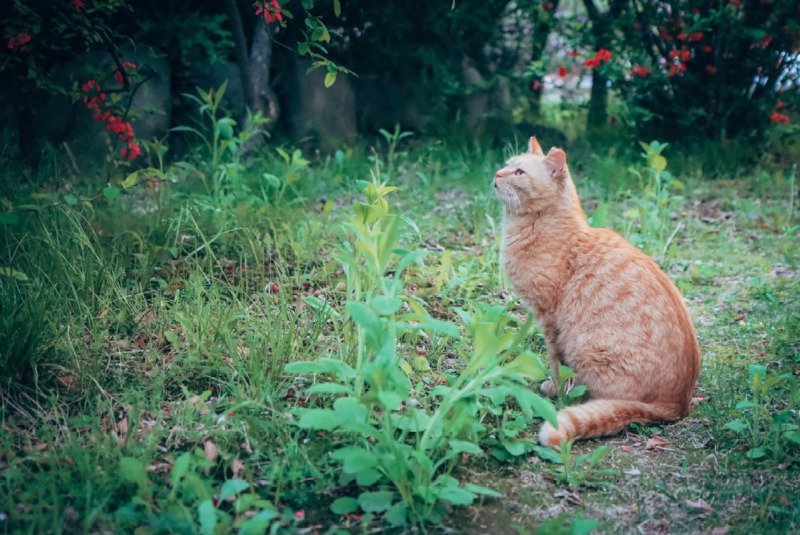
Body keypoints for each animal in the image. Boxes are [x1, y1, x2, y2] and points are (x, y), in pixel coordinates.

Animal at [494, 137, 700, 448]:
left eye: (519, 172)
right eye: (507, 164)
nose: (496, 174)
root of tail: (677, 405)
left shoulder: (549, 319)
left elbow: (555, 363)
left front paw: (556, 388)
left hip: (587, 350)